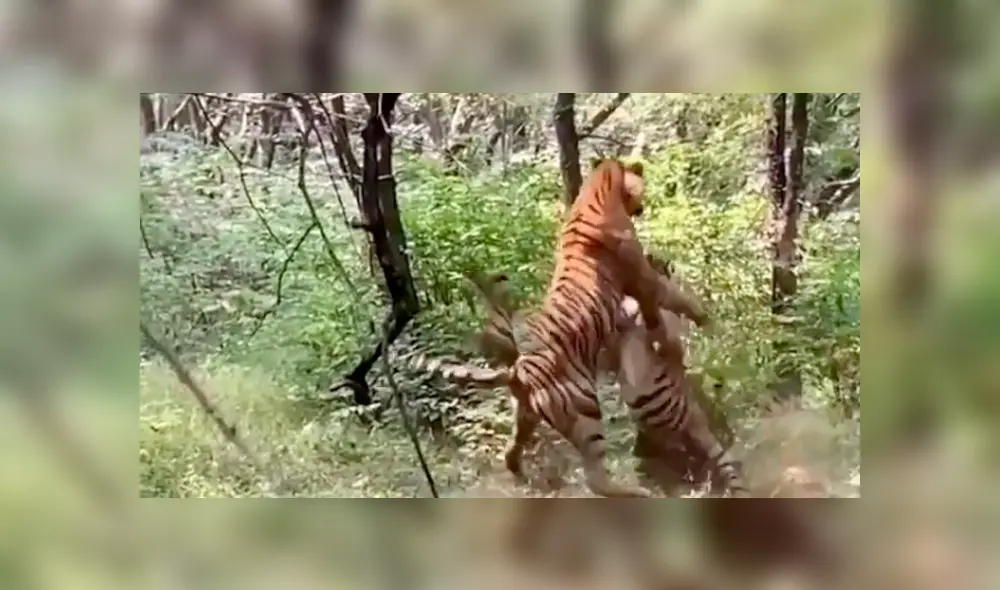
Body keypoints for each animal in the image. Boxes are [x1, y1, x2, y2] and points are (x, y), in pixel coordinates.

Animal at [424, 158, 711, 497]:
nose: (642, 205)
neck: (599, 191)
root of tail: (517, 371)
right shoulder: (643, 277)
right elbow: (678, 299)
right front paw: (706, 320)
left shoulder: (641, 288)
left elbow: (657, 319)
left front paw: (669, 343)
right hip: (585, 411)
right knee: (595, 478)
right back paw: (637, 492)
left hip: (526, 416)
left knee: (511, 452)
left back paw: (522, 478)